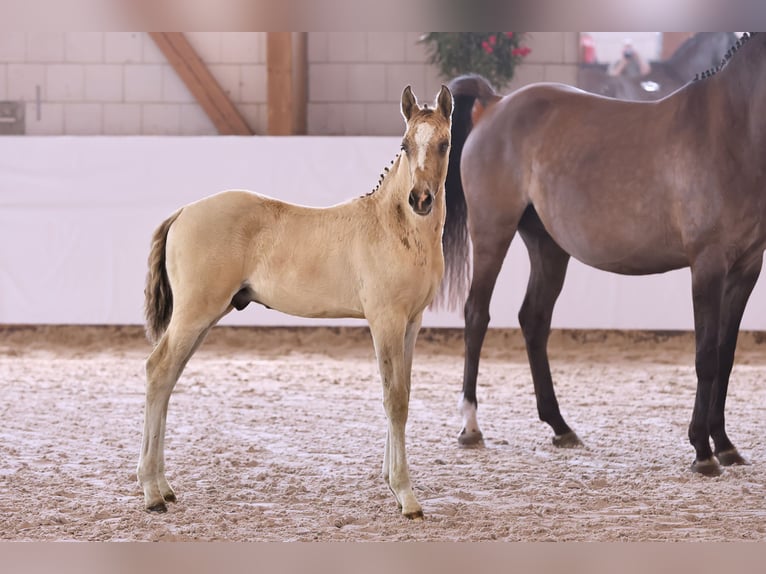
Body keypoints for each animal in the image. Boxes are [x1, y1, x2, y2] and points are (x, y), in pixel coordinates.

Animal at [138, 86, 452, 520]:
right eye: (405, 145)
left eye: (444, 143)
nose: (420, 199)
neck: (395, 228)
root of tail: (183, 211)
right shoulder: (385, 320)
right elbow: (395, 399)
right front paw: (406, 496)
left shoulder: (411, 323)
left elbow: (401, 393)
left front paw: (392, 483)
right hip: (194, 313)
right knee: (158, 370)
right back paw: (151, 492)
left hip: (202, 318)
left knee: (168, 378)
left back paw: (165, 487)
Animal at [438, 33, 766, 480]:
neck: (732, 128)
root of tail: (495, 103)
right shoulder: (708, 266)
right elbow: (707, 358)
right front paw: (702, 450)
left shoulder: (746, 269)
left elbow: (727, 357)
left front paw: (726, 444)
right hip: (492, 233)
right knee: (476, 316)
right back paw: (471, 425)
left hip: (547, 246)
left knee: (534, 320)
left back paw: (560, 426)